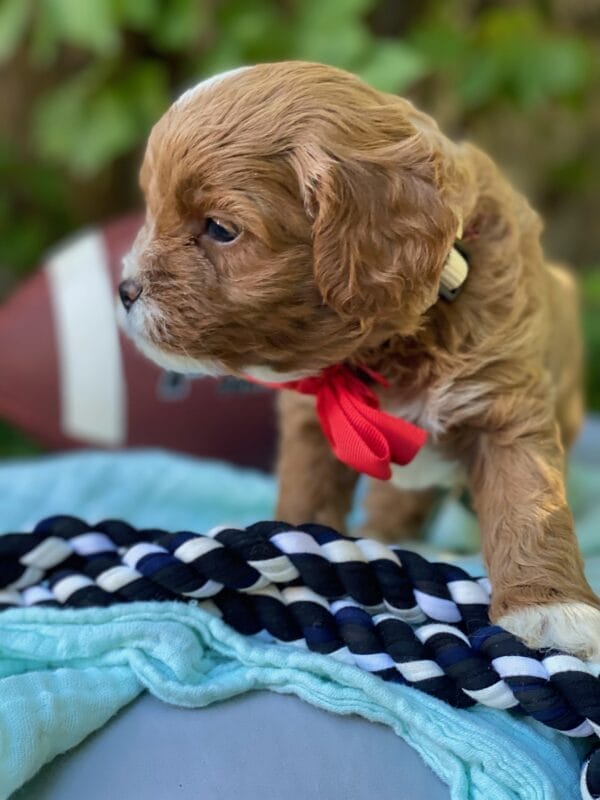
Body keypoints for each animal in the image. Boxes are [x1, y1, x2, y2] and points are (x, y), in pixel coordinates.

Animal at [118, 61, 600, 664]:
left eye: (221, 229)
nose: (125, 290)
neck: (398, 345)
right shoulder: (314, 424)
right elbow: (308, 493)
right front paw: (294, 555)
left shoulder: (505, 401)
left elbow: (528, 501)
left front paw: (550, 611)